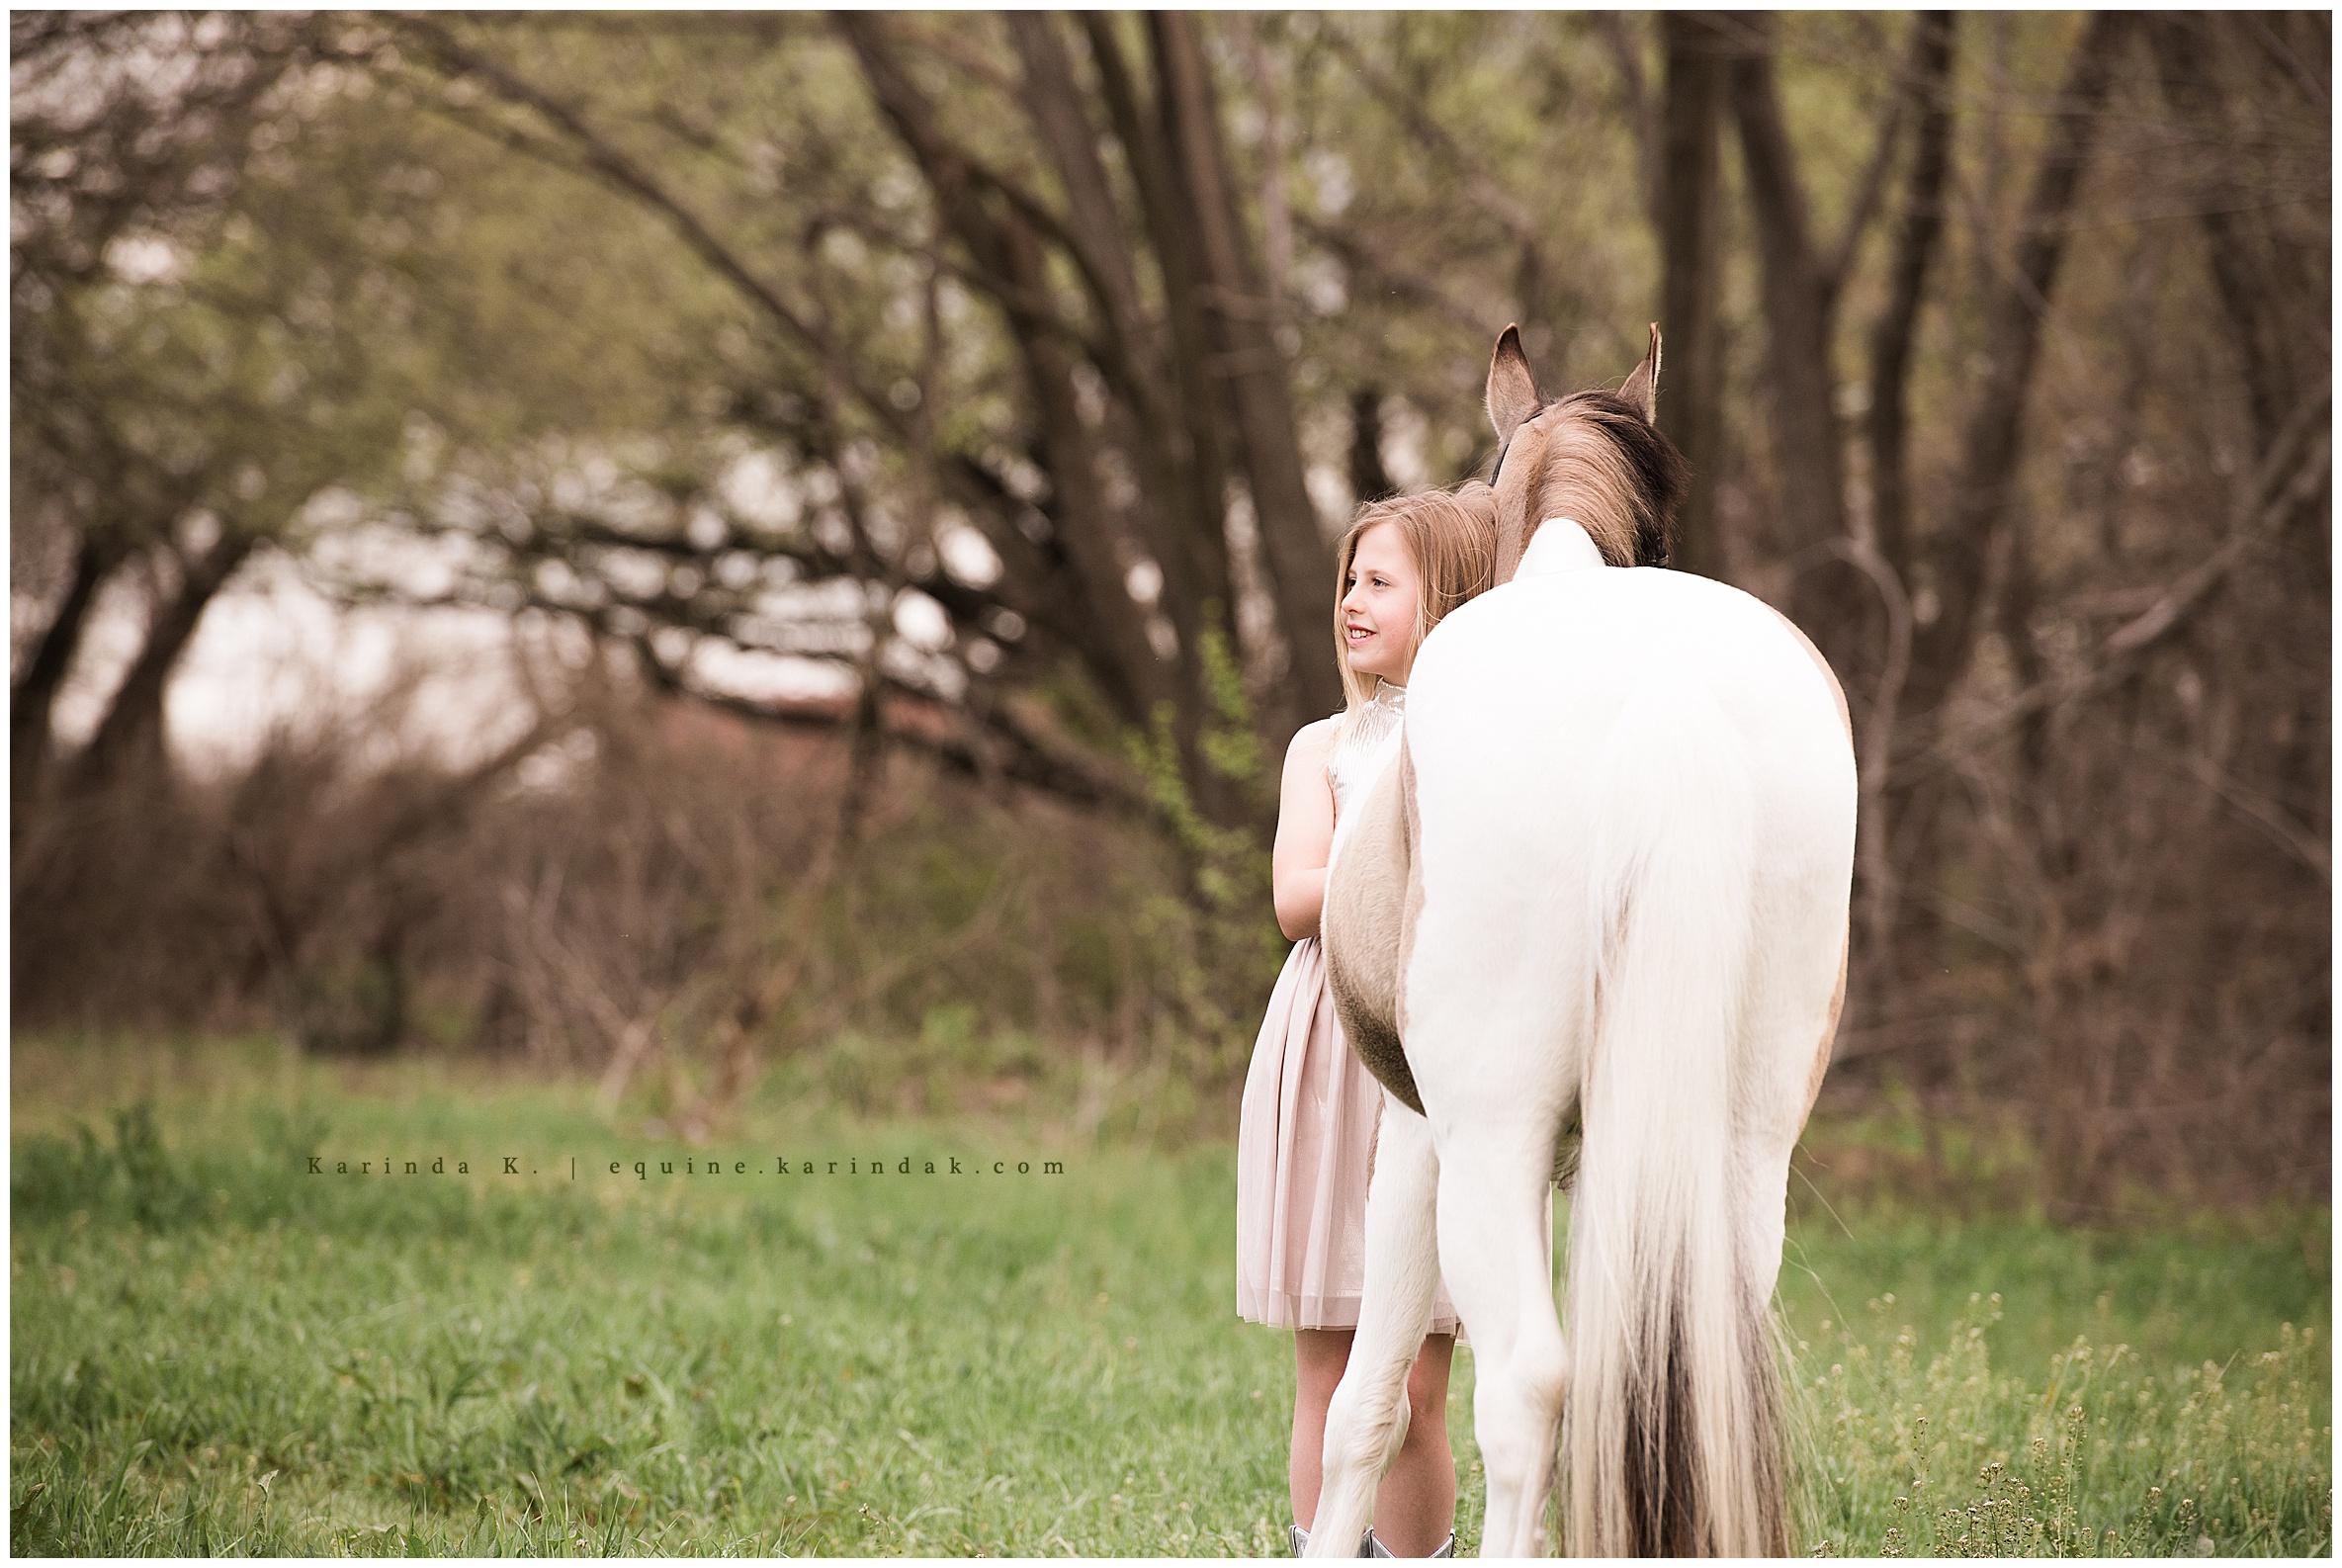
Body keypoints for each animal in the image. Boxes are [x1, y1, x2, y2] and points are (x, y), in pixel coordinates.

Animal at [1307, 324, 1856, 1557]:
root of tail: (1663, 688)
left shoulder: (1417, 1134)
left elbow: (1364, 1408)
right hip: (1740, 1143)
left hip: (1489, 1137)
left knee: (1528, 1385)